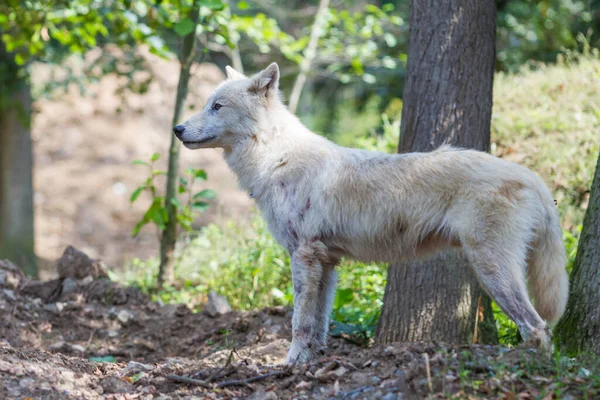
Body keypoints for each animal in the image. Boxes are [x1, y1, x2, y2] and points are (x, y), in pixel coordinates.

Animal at [173, 61, 568, 362]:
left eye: (217, 106)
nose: (177, 128)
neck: (276, 159)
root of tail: (532, 177)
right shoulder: (326, 263)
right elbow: (319, 324)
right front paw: (309, 364)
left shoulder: (303, 257)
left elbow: (299, 322)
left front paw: (289, 364)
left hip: (492, 268)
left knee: (537, 328)